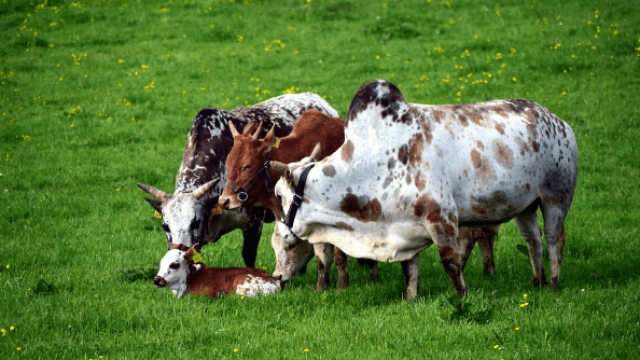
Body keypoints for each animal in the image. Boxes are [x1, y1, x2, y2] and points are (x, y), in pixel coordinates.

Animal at [276, 80, 580, 300]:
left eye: (279, 195)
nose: (281, 231)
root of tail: (560, 122)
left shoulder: (441, 217)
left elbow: (451, 263)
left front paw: (463, 296)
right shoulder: (405, 227)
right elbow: (409, 269)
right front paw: (410, 298)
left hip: (556, 199)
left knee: (554, 240)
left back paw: (553, 284)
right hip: (525, 207)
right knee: (533, 241)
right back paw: (537, 281)